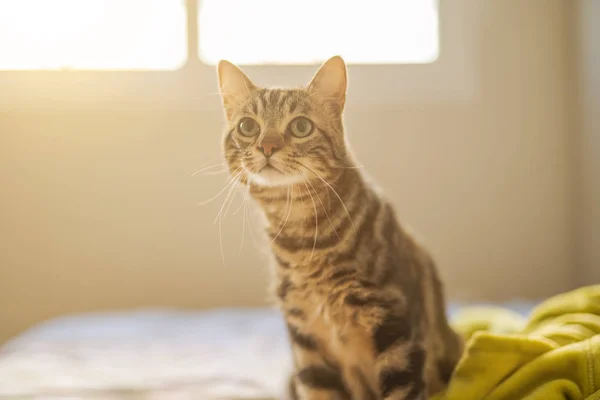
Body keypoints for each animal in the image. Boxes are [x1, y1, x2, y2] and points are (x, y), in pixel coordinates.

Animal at [216, 54, 464, 398]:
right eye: (248, 126)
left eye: (301, 126)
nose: (267, 147)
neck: (303, 238)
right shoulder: (307, 345)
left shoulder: (396, 331)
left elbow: (402, 390)